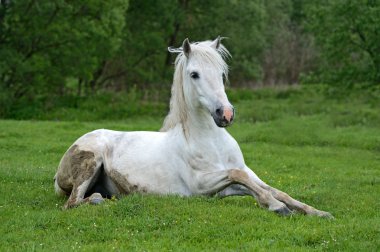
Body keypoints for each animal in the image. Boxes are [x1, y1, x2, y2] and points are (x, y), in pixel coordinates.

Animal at [53, 37, 332, 219]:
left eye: (222, 73)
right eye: (194, 74)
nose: (225, 114)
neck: (212, 143)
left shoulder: (231, 182)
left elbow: (272, 188)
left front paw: (316, 212)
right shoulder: (201, 185)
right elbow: (240, 177)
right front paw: (277, 208)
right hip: (90, 163)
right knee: (73, 203)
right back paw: (100, 201)